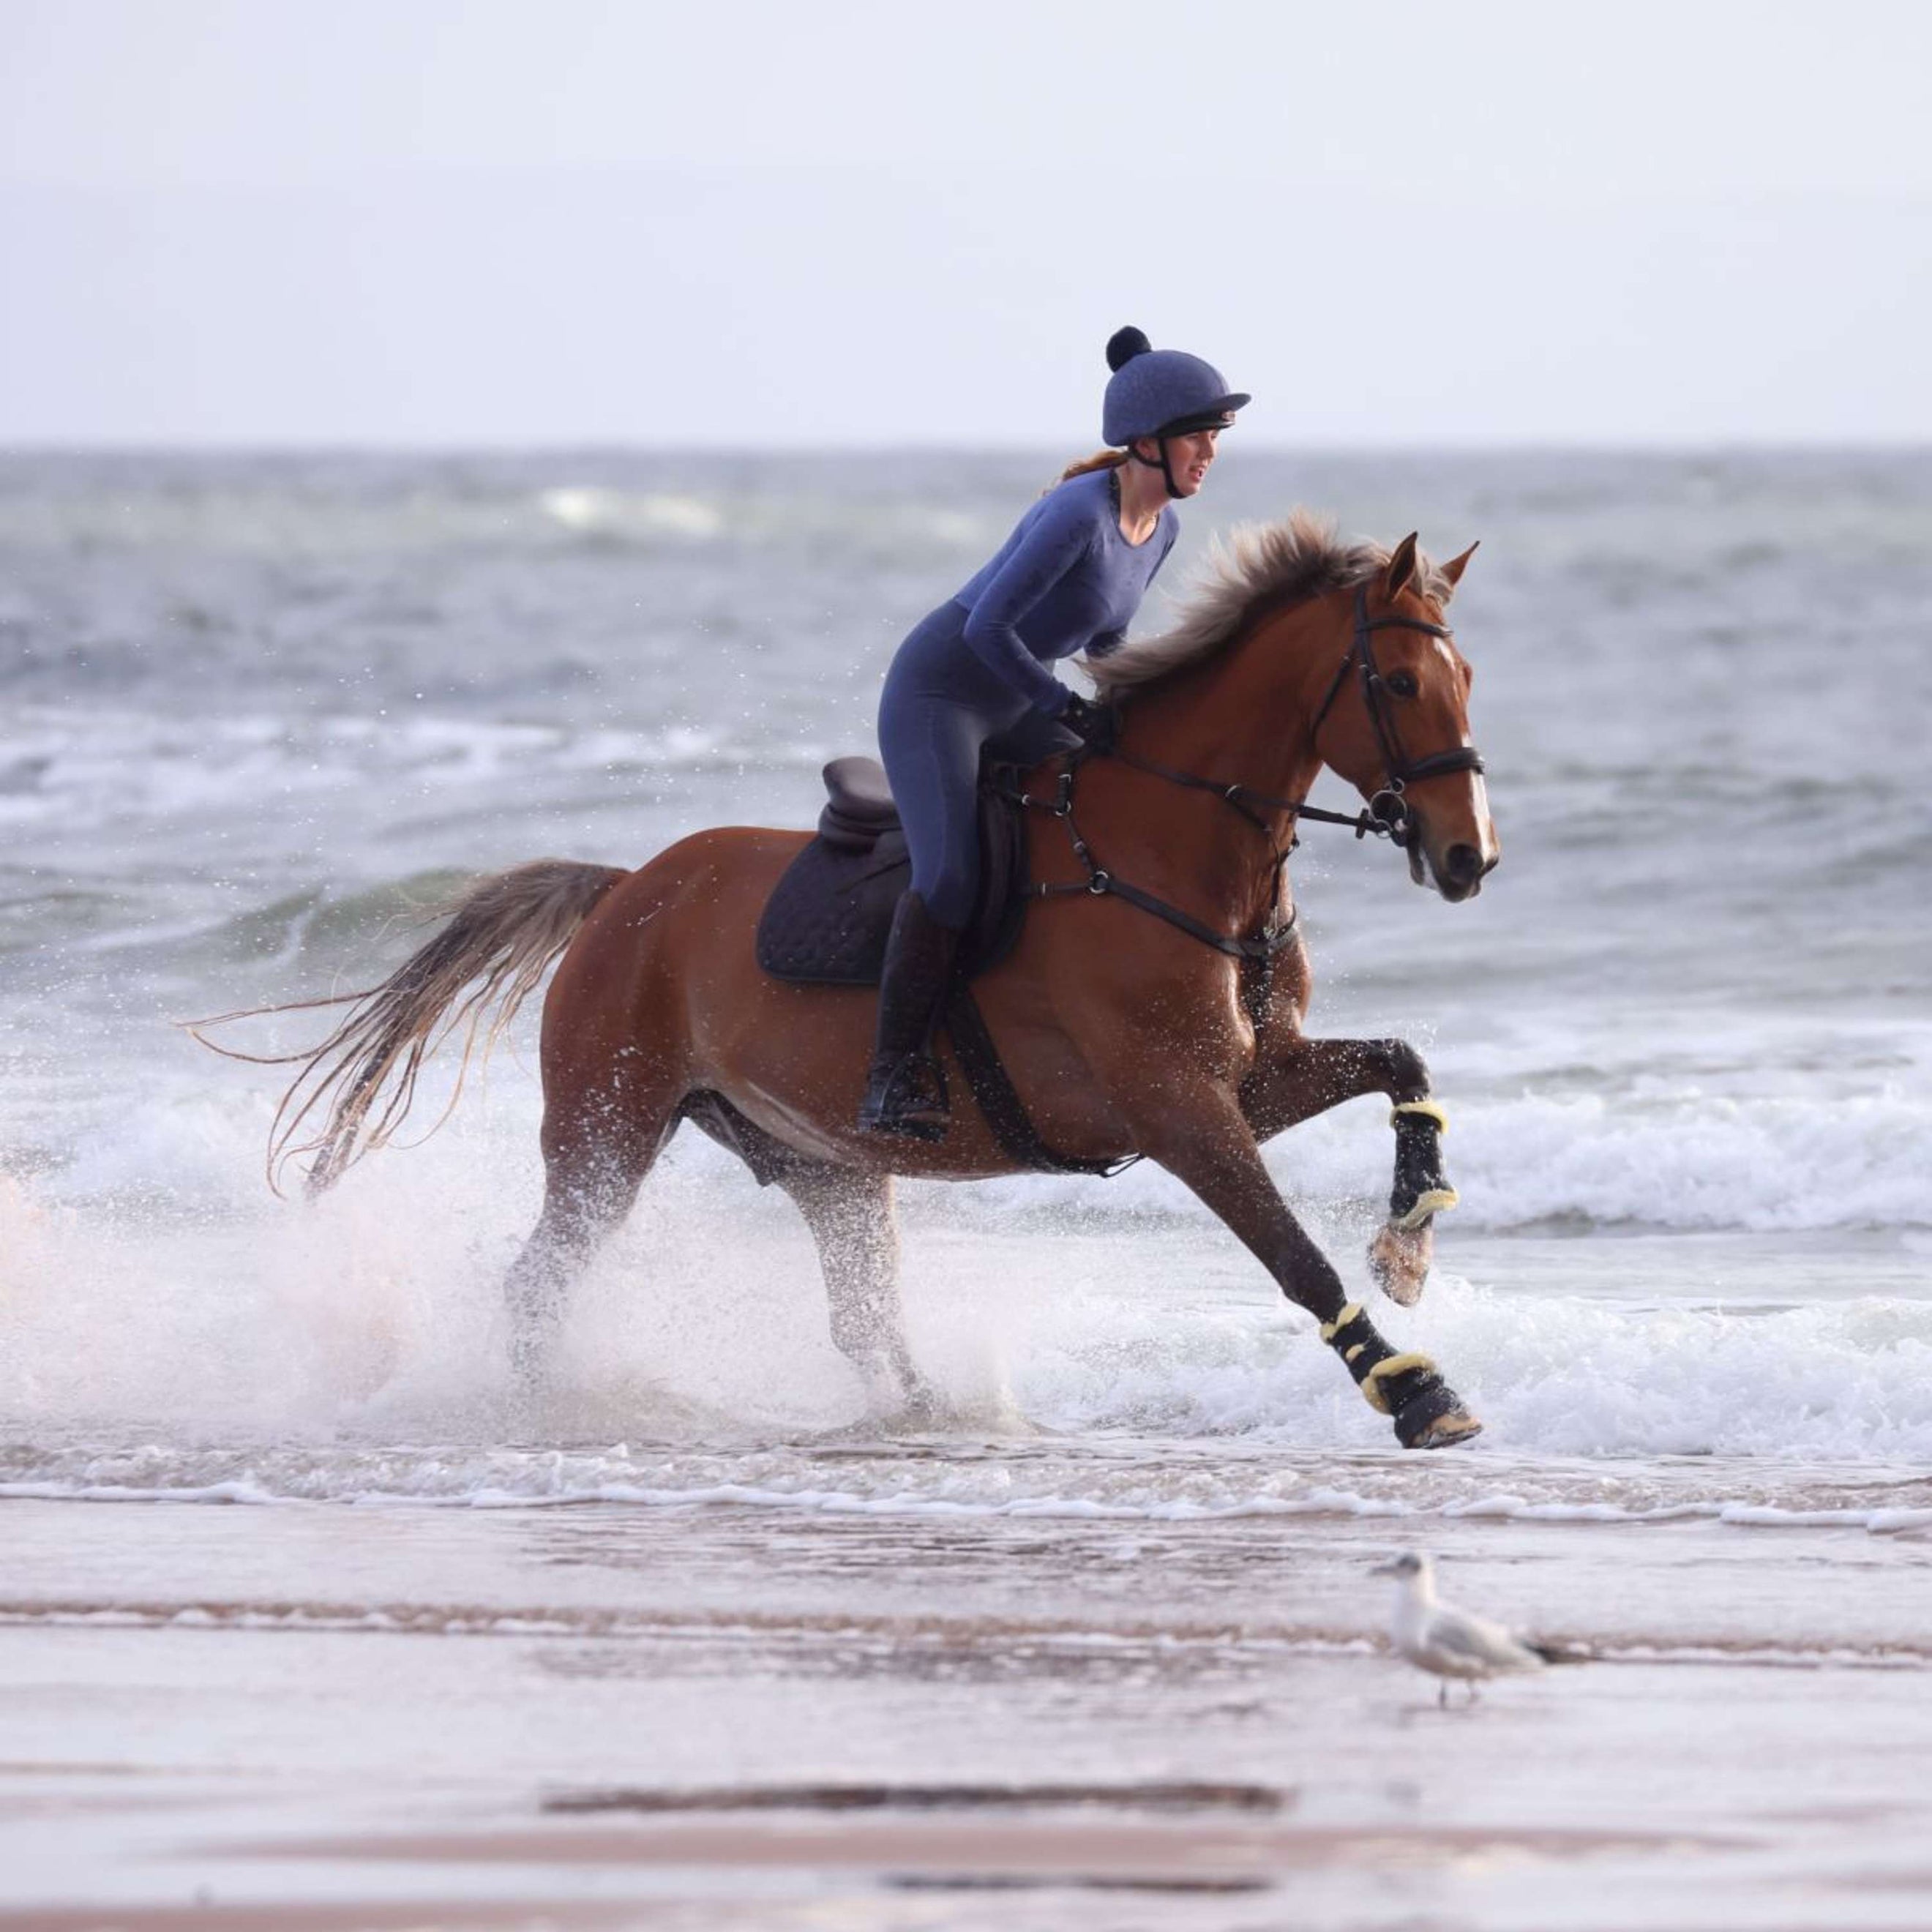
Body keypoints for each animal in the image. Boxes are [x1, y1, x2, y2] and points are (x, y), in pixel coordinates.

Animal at [215, 514, 1507, 1453]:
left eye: (1469, 674)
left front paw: (1412, 1237)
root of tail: (625, 891)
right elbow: (1291, 1255)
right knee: (541, 1282)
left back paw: (929, 1416)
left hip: (824, 1164)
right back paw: (534, 1414)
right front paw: (1414, 1391)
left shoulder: (1248, 1078)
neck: (1175, 852)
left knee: (857, 1311)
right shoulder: (1176, 1107)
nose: (1469, 858)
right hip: (605, 1131)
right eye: (1398, 684)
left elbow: (1403, 1061)